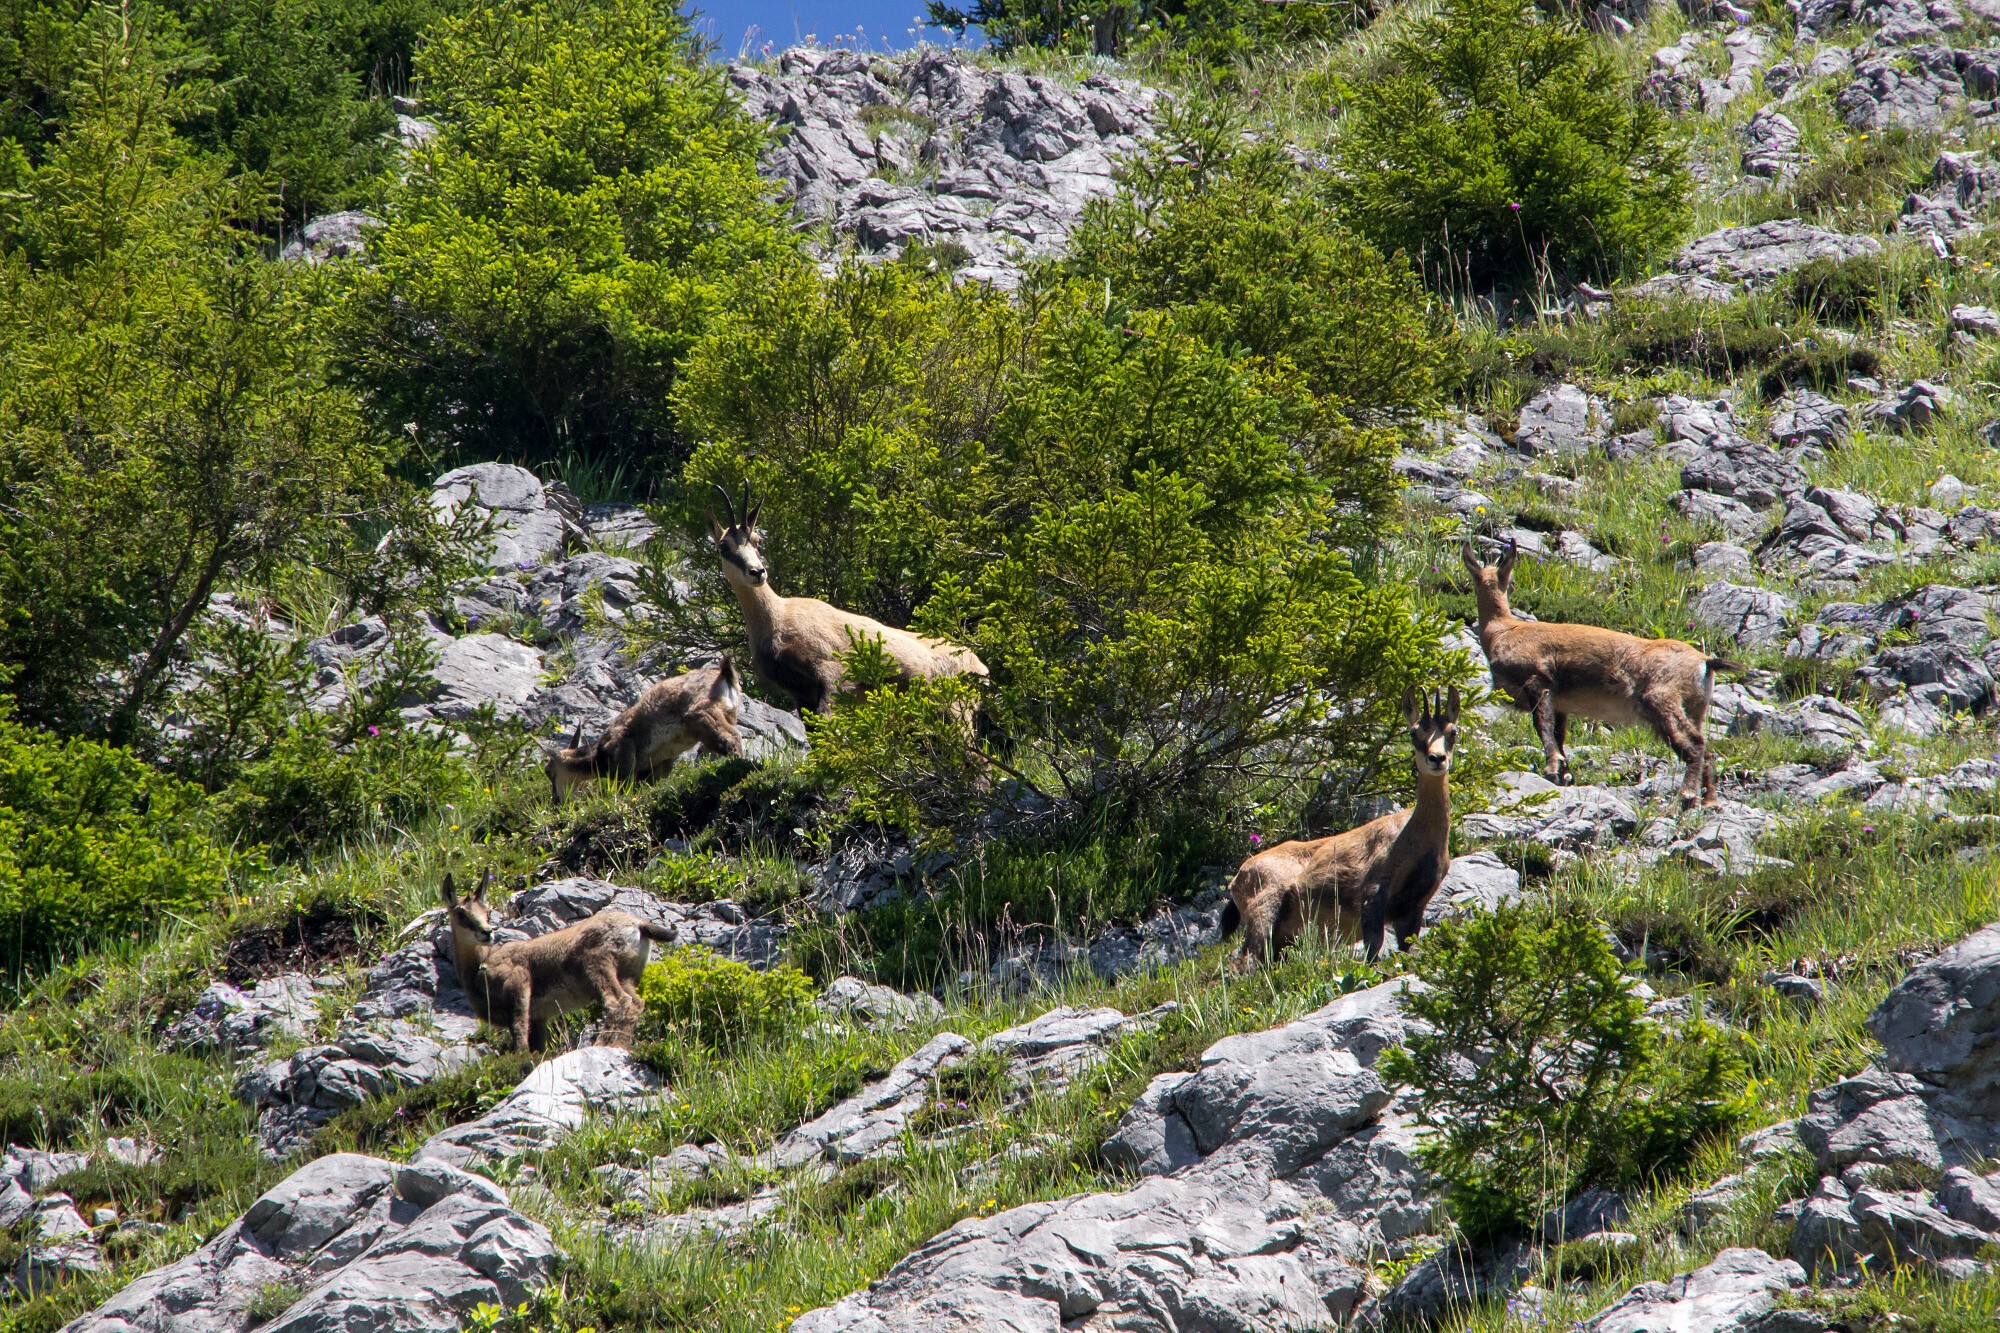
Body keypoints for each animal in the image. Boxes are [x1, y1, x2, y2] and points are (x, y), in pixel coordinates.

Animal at [440, 872, 672, 1048]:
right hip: (628, 974)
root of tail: (637, 925)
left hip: (597, 966)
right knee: (636, 1003)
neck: (479, 966)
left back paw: (601, 1044)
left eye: (487, 911)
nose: (487, 932)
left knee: (617, 1002)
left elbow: (519, 1029)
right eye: (460, 913)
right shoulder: (539, 1017)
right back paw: (619, 1046)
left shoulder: (519, 982)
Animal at [544, 652, 748, 800]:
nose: (556, 800)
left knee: (731, 738)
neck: (599, 755)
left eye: (549, 772)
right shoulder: (659, 764)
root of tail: (724, 675)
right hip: (726, 714)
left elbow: (625, 785)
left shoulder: (623, 749)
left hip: (701, 713)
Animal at [708, 482, 988, 712]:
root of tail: (979, 665)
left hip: (958, 709)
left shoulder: (832, 673)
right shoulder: (801, 693)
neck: (777, 616)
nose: (757, 572)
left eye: (757, 540)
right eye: (724, 547)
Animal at [1216, 684, 1456, 964]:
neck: (1416, 836)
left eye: (1453, 732)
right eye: (1414, 732)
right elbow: (1373, 945)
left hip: (1282, 936)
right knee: (1246, 960)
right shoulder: (1373, 889)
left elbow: (1406, 945)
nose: (1437, 759)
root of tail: (1238, 877)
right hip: (1265, 903)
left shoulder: (1412, 907)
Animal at [1464, 536, 1744, 804]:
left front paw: (1552, 768)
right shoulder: (1560, 702)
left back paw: (1686, 794)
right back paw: (1708, 801)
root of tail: (1705, 662)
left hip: (1661, 697)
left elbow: (1542, 726)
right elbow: (1559, 733)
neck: (1502, 630)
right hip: (1696, 707)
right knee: (1707, 748)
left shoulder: (1537, 679)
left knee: (1695, 744)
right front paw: (1565, 773)